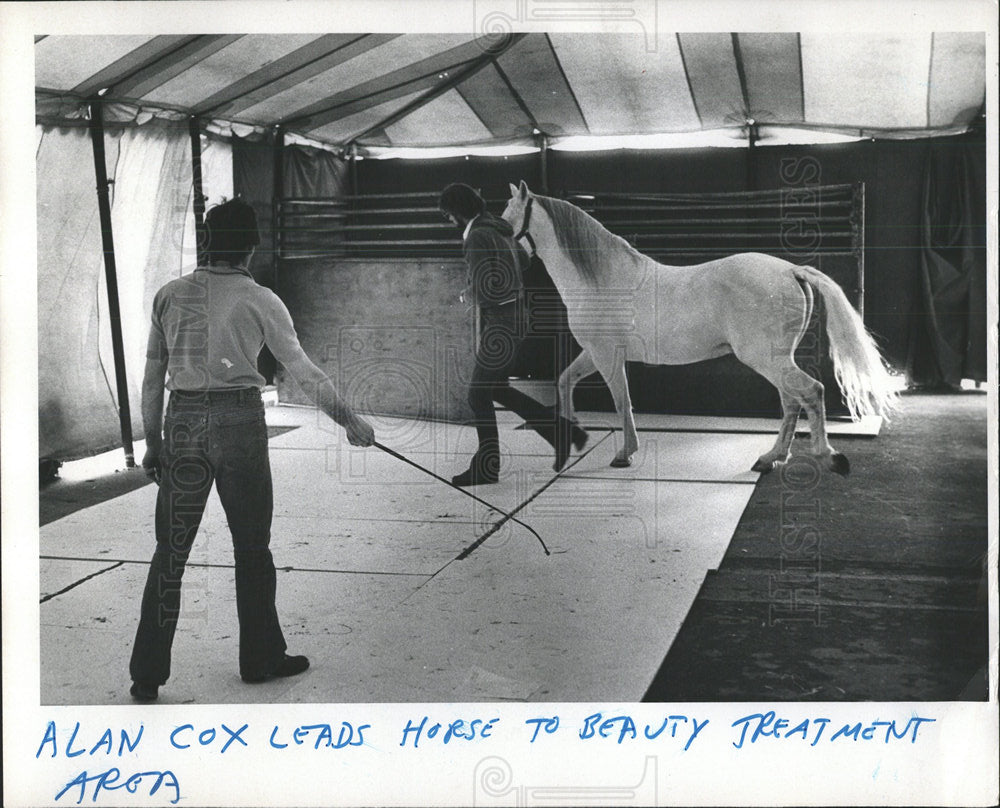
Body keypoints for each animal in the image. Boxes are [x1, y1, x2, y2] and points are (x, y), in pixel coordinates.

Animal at [504, 180, 896, 476]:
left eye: (508, 221)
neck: (602, 281)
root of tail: (790, 270)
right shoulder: (594, 353)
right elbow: (565, 381)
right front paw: (570, 439)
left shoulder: (606, 356)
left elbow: (621, 401)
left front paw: (624, 454)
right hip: (776, 361)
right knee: (791, 402)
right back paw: (770, 458)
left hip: (766, 359)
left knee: (811, 392)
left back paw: (827, 457)